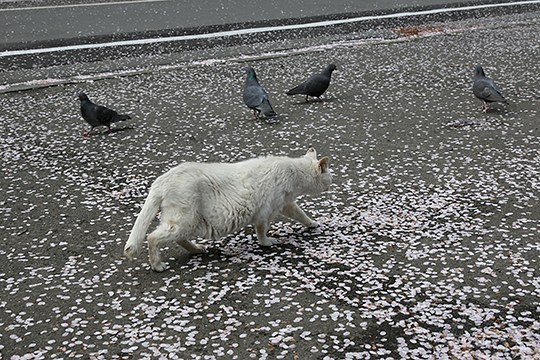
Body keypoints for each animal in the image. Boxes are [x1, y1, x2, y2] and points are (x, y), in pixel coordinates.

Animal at [124, 148, 332, 272]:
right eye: (329, 175)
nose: (331, 185)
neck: (293, 172)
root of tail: (162, 180)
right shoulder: (266, 211)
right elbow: (262, 230)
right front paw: (266, 243)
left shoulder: (285, 204)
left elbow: (300, 214)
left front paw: (312, 224)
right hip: (186, 220)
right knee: (153, 237)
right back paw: (157, 265)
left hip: (187, 222)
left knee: (178, 238)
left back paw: (196, 249)